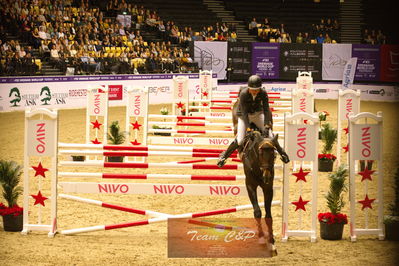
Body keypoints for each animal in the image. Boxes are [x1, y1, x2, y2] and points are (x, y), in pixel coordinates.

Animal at [233, 98, 280, 252]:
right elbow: (258, 212)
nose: (266, 176)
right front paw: (261, 238)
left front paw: (271, 240)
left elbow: (268, 214)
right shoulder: (250, 186)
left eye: (274, 152)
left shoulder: (268, 188)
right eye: (259, 152)